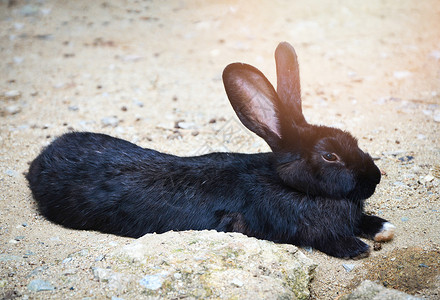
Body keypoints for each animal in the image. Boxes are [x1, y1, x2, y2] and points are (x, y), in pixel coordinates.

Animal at [25, 41, 394, 258]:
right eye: (330, 155)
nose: (375, 178)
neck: (288, 185)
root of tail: (38, 162)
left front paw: (383, 227)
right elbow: (326, 239)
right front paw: (357, 248)